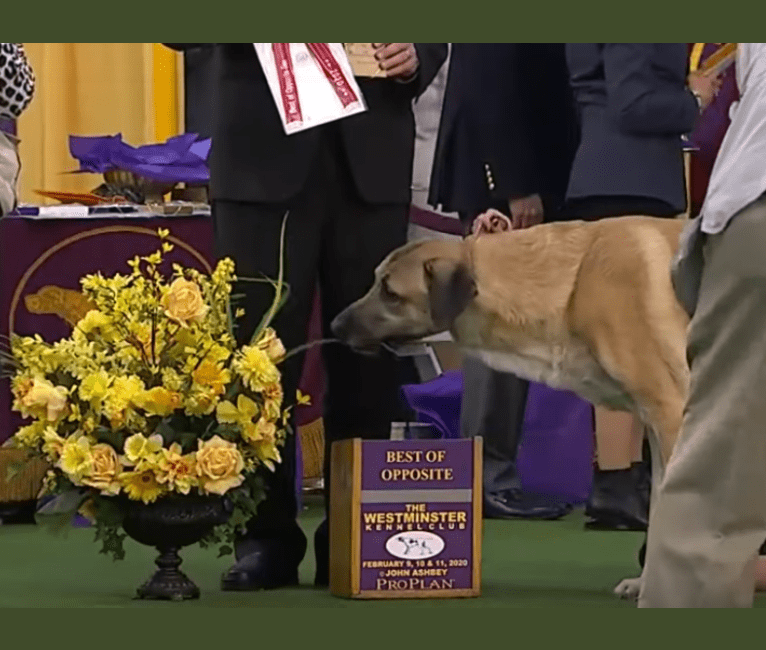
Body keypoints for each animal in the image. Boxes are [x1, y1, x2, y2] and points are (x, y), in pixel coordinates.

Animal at [332, 216, 692, 596]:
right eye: (377, 282)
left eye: (391, 293)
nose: (334, 325)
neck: (574, 283)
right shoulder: (657, 421)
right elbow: (660, 509)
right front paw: (648, 583)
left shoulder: (669, 412)